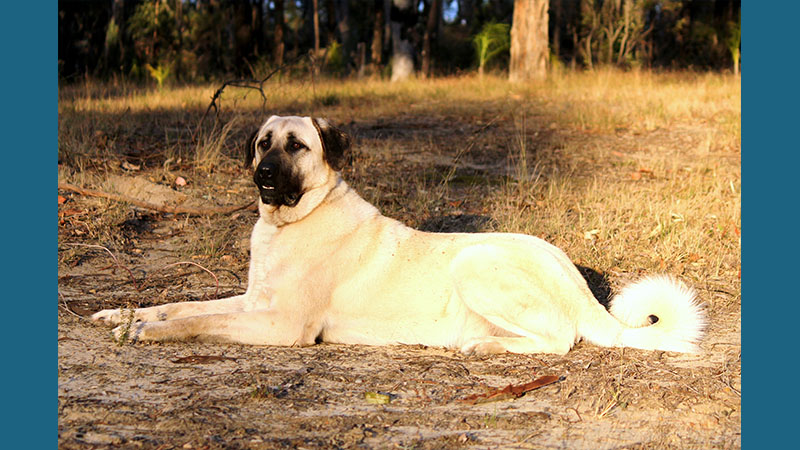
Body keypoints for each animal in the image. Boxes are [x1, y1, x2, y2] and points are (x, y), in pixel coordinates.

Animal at [92, 116, 708, 356]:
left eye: (296, 147)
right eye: (263, 143)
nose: (263, 175)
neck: (295, 219)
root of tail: (577, 282)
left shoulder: (282, 325)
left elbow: (197, 321)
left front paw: (145, 330)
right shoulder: (252, 301)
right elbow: (183, 304)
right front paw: (122, 316)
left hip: (474, 263)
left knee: (560, 338)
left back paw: (483, 345)